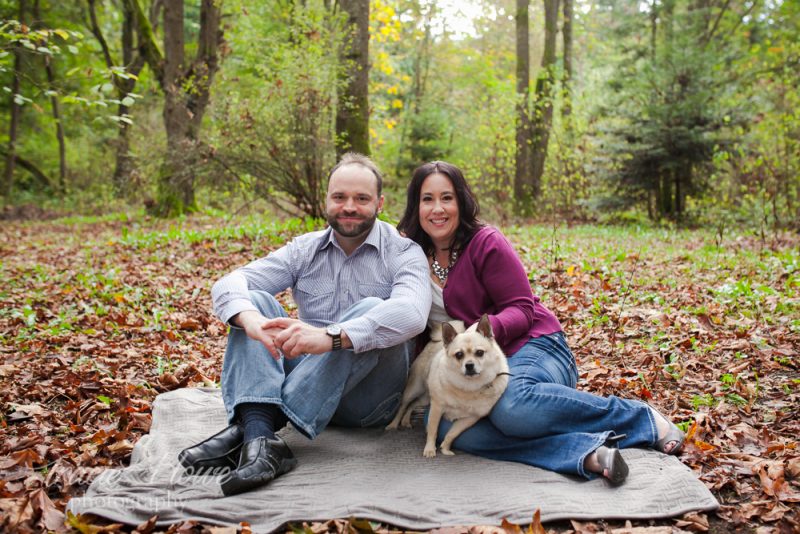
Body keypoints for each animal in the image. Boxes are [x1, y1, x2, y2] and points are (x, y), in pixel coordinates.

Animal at [386, 316, 510, 458]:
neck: (469, 387)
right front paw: (430, 449)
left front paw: (445, 448)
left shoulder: (470, 419)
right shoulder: (436, 408)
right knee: (403, 406)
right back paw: (393, 424)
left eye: (480, 353)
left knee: (414, 404)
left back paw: (406, 421)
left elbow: (452, 433)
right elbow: (433, 430)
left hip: (426, 398)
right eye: (459, 355)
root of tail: (438, 341)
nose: (469, 365)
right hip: (414, 389)